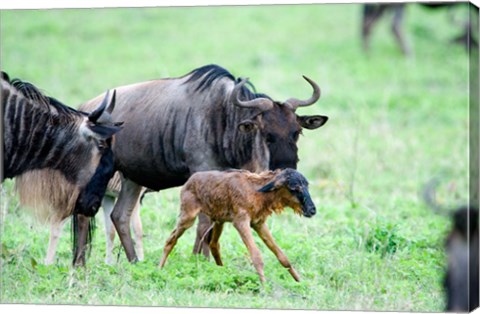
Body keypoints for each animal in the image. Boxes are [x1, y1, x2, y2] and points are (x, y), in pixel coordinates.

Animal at [159, 168, 316, 284]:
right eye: (294, 188)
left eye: (307, 185)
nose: (312, 210)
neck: (255, 190)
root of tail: (189, 181)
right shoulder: (241, 222)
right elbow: (256, 256)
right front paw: (264, 287)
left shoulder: (258, 224)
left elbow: (282, 256)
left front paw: (300, 282)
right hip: (188, 218)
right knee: (170, 240)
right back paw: (159, 269)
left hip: (219, 221)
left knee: (214, 245)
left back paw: (222, 272)